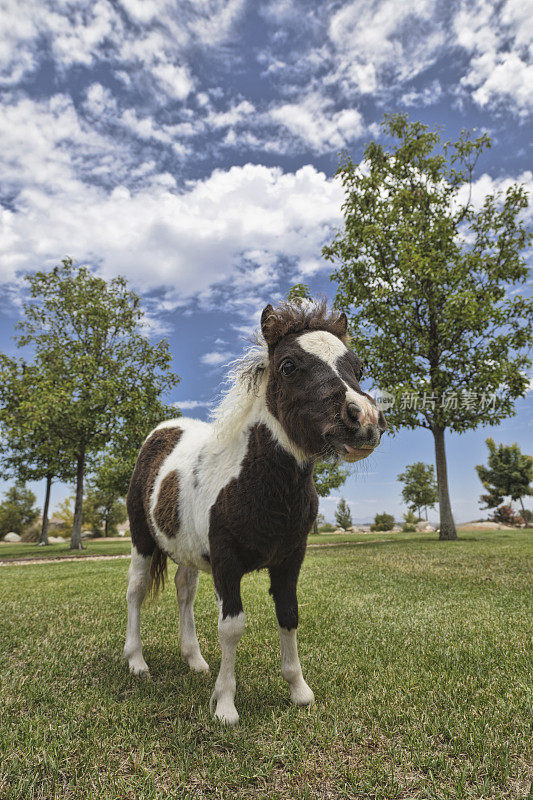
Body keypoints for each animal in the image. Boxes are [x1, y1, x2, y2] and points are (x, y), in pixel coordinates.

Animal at [122, 300, 384, 724]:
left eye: (358, 368)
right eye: (289, 365)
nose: (364, 420)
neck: (258, 486)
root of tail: (161, 431)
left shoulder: (291, 557)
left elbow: (289, 614)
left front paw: (299, 691)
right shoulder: (226, 561)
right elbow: (231, 627)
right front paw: (226, 706)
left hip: (188, 549)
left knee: (183, 590)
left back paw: (195, 661)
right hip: (143, 540)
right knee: (136, 589)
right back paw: (137, 662)